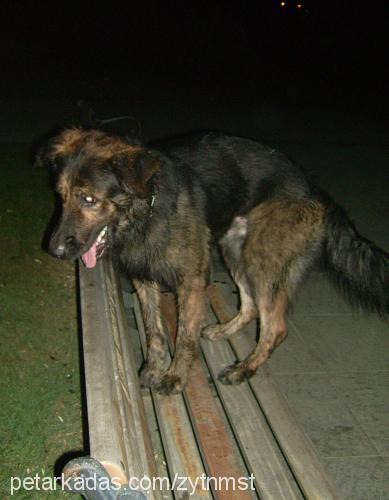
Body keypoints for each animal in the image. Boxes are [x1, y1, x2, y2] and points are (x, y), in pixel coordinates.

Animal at [43, 129, 388, 394]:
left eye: (89, 199)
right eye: (61, 196)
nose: (54, 250)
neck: (147, 212)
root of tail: (314, 187)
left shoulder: (192, 282)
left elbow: (184, 336)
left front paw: (175, 376)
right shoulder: (144, 279)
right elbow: (154, 332)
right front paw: (152, 370)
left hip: (261, 258)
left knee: (275, 326)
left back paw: (244, 369)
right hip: (233, 249)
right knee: (250, 307)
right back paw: (224, 331)